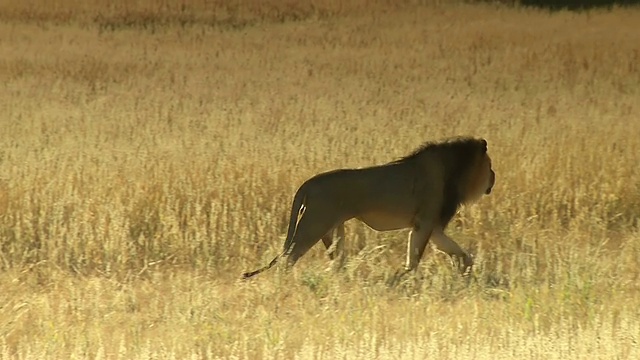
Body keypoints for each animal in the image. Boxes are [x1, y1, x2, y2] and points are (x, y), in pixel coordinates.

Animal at [240, 135, 496, 278]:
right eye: (490, 166)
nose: (494, 176)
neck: (456, 170)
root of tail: (308, 184)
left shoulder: (430, 226)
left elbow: (457, 251)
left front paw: (465, 271)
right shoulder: (426, 222)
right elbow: (415, 256)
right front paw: (408, 279)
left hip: (332, 231)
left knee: (336, 262)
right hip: (313, 225)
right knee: (288, 259)